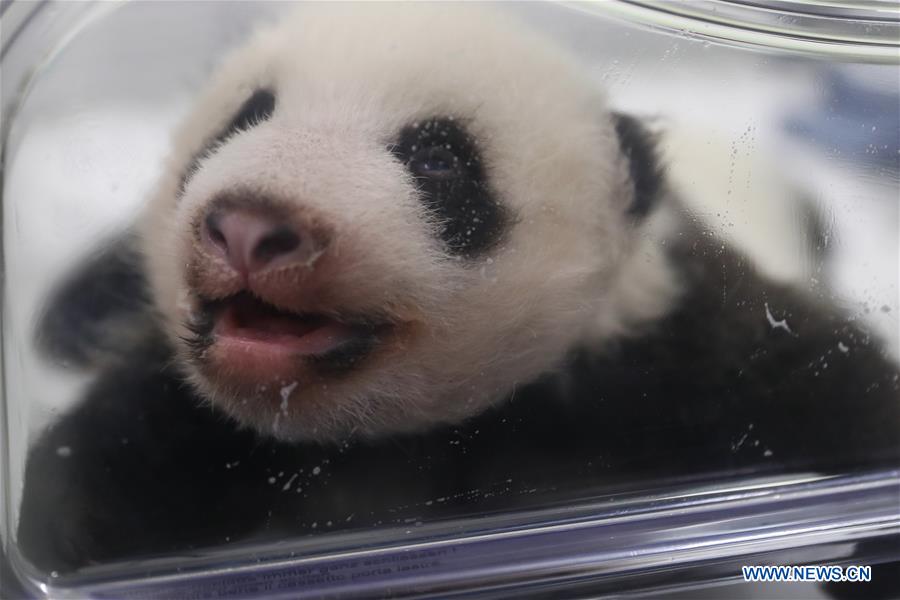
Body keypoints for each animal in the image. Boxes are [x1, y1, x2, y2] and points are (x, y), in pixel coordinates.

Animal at [17, 3, 899, 580]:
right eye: (245, 117)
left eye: (437, 158)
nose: (249, 229)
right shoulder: (190, 417)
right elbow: (90, 477)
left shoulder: (679, 361)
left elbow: (841, 410)